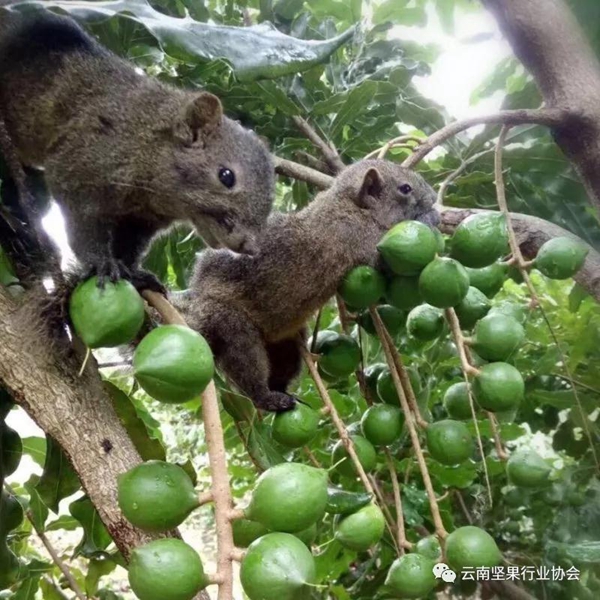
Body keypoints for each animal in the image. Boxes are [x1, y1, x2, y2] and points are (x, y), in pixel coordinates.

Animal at [0, 8, 274, 290]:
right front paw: (101, 262)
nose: (250, 247)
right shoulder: (79, 173)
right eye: (226, 176)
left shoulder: (143, 220)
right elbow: (85, 229)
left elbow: (130, 247)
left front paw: (136, 273)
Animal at [175, 159, 440, 412]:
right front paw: (431, 218)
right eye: (405, 189)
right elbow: (384, 266)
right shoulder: (357, 239)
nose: (434, 196)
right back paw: (267, 398)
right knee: (246, 365)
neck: (350, 206)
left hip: (286, 349)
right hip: (227, 322)